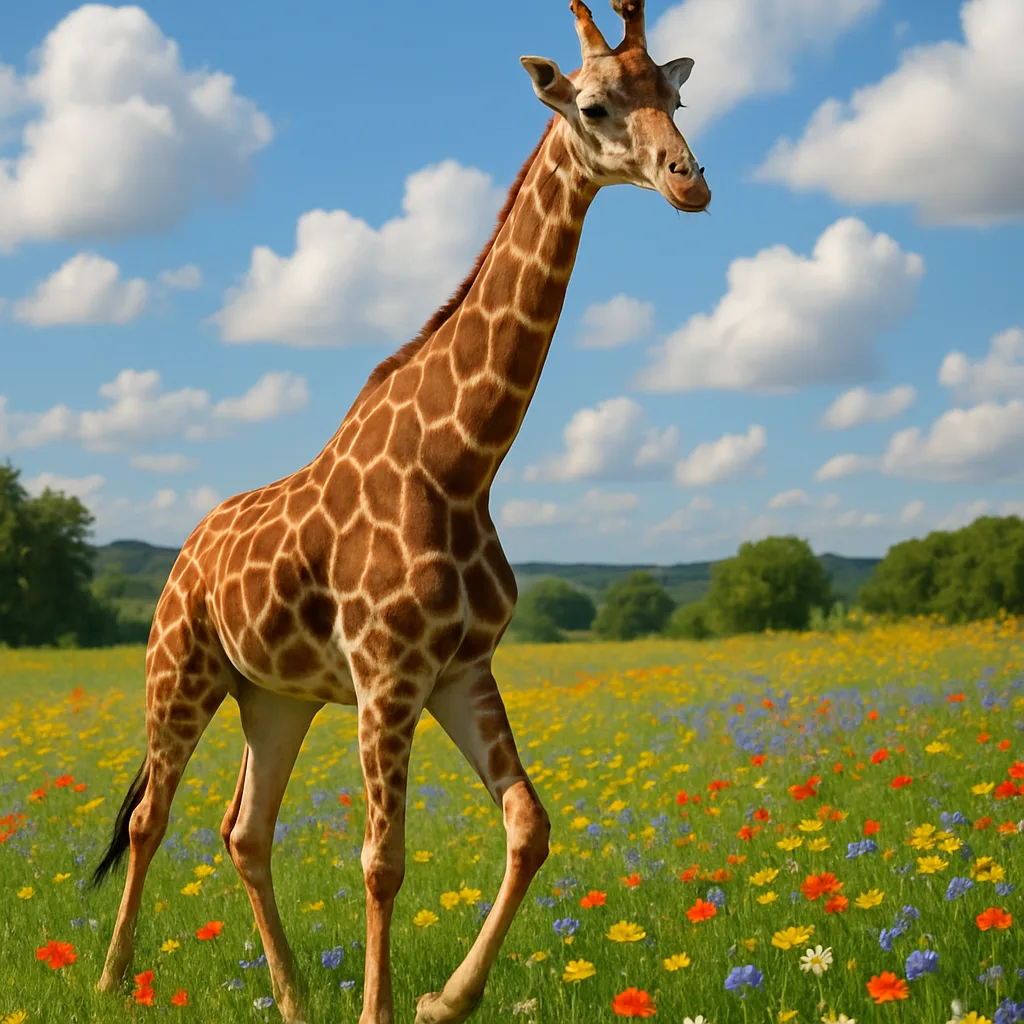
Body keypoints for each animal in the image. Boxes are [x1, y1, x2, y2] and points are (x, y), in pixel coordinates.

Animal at [91, 2, 709, 1022]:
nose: (688, 181)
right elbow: (383, 861)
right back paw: (110, 978)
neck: (461, 466)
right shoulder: (387, 676)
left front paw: (441, 1001)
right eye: (592, 104)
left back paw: (293, 998)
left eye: (676, 95)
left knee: (244, 830)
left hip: (276, 695)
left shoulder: (459, 669)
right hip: (178, 669)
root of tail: (185, 551)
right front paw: (386, 1007)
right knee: (151, 815)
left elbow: (531, 824)